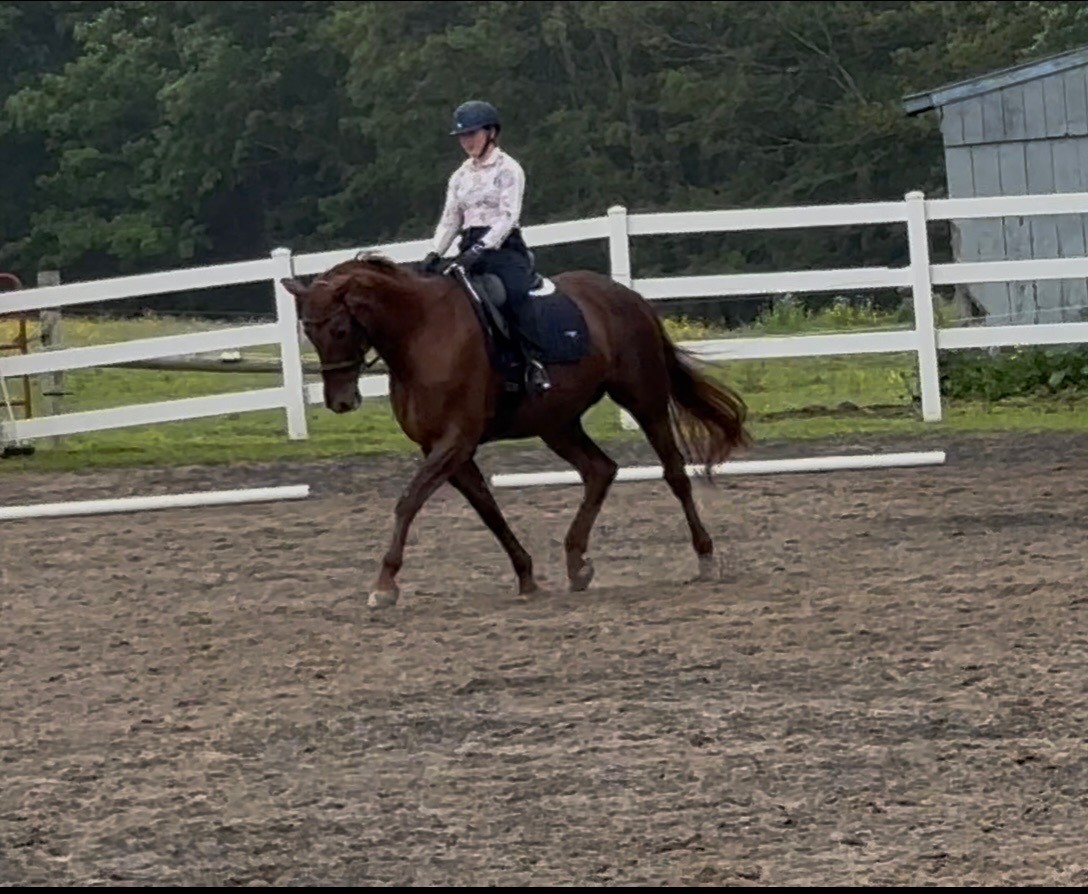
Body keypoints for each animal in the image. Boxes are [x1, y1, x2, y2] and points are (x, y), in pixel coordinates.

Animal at [280, 252, 752, 608]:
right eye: (308, 332)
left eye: (340, 328)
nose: (341, 402)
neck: (421, 334)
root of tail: (627, 294)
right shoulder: (445, 449)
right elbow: (487, 509)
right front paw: (526, 576)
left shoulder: (455, 441)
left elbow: (408, 502)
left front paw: (384, 585)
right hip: (556, 423)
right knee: (600, 470)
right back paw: (577, 564)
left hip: (643, 401)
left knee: (674, 473)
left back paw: (705, 557)